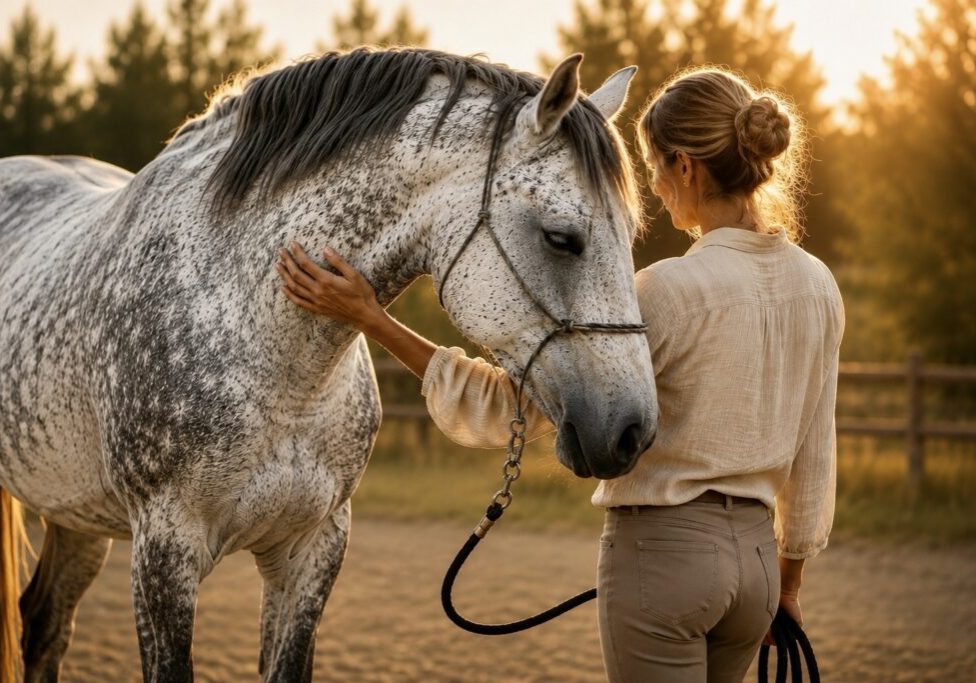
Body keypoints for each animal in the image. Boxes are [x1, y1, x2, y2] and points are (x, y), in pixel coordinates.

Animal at [0, 47, 657, 681]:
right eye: (561, 238)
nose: (633, 431)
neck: (281, 367)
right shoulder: (164, 551)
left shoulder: (313, 548)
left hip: (77, 518)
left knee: (46, 625)